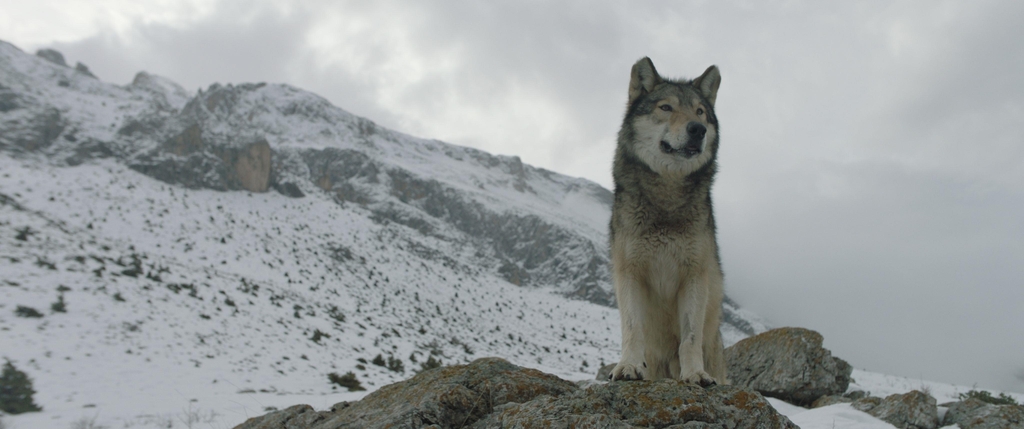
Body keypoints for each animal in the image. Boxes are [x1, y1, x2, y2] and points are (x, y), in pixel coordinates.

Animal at [606, 56, 729, 387]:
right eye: (666, 107)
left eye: (700, 112)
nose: (698, 129)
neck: (666, 198)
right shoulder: (630, 273)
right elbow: (633, 328)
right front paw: (628, 367)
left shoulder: (694, 276)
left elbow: (689, 337)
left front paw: (695, 374)